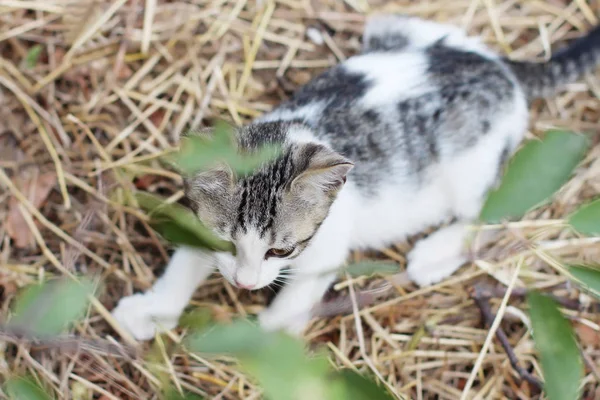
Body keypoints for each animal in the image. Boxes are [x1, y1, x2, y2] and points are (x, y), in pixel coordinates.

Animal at [112, 14, 600, 340]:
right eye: (227, 242)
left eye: (281, 250)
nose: (244, 284)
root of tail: (501, 67)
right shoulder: (199, 220)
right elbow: (186, 260)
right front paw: (150, 311)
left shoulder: (328, 242)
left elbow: (298, 294)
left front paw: (263, 341)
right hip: (390, 25)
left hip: (471, 160)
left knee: (492, 213)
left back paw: (436, 253)